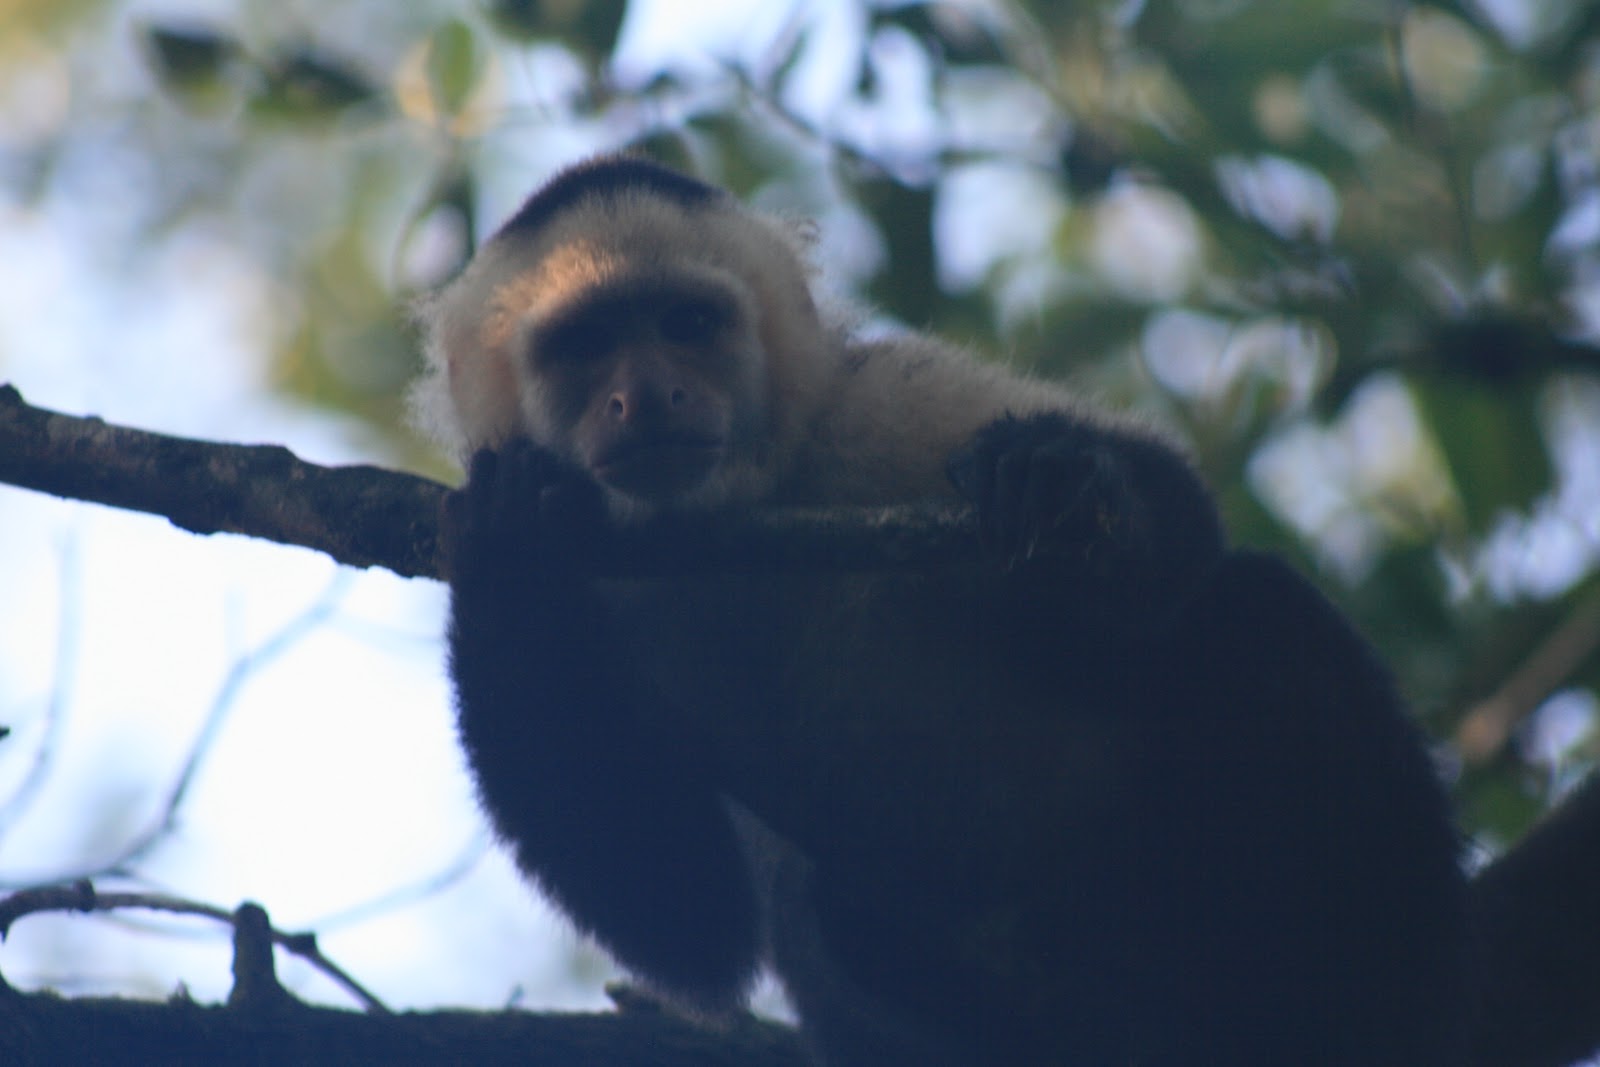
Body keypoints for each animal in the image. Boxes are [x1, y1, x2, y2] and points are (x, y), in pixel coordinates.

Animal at [414, 155, 1470, 1065]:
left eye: (686, 322)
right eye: (586, 347)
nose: (649, 396)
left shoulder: (879, 404)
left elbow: (1180, 535)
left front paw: (1069, 481)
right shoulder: (609, 571)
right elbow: (685, 920)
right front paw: (511, 547)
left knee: (1251, 610)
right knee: (838, 913)